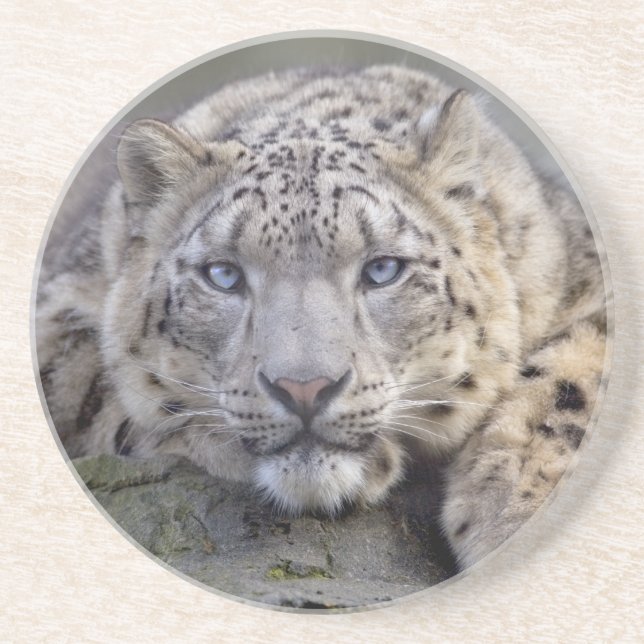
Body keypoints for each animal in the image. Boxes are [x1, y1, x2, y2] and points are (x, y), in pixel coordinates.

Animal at [35, 65, 608, 570]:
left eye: (382, 269)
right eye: (223, 274)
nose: (304, 389)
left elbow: (583, 363)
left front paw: (512, 501)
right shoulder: (58, 314)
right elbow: (112, 395)